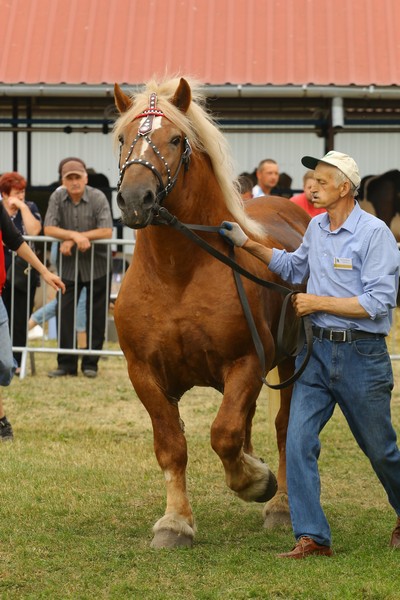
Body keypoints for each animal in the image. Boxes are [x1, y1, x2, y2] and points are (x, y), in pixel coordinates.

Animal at [113, 77, 310, 549]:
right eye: (123, 138)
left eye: (176, 139)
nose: (135, 199)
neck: (178, 273)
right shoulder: (143, 373)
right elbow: (172, 446)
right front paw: (175, 522)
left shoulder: (247, 362)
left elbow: (224, 435)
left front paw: (255, 481)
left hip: (293, 359)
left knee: (282, 427)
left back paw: (280, 503)